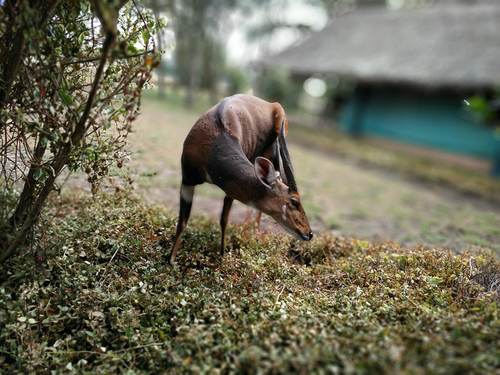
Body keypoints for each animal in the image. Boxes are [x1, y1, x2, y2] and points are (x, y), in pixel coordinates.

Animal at [168, 94, 312, 264]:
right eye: (294, 201)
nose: (309, 233)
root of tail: (274, 105)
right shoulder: (187, 180)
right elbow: (182, 221)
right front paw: (171, 261)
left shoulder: (228, 190)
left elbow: (224, 219)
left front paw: (222, 256)